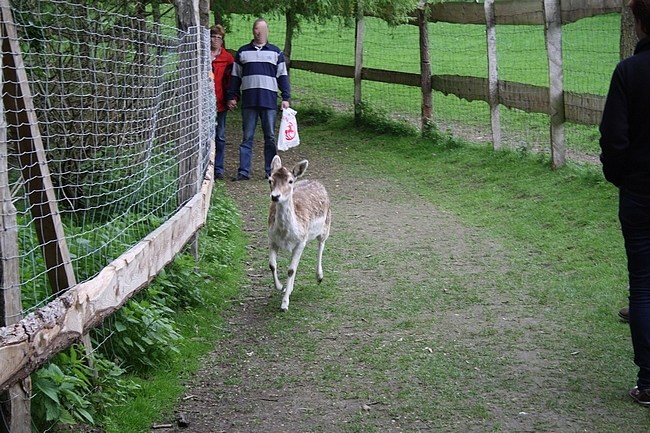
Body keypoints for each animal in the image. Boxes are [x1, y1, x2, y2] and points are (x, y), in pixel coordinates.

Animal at [268, 155, 332, 310]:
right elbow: (272, 265)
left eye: (290, 181)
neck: (285, 234)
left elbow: (291, 270)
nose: (275, 196)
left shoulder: (300, 242)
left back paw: (319, 277)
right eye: (270, 180)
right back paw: (289, 288)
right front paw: (280, 287)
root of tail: (317, 182)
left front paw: (284, 305)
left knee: (321, 245)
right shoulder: (271, 238)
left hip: (326, 225)